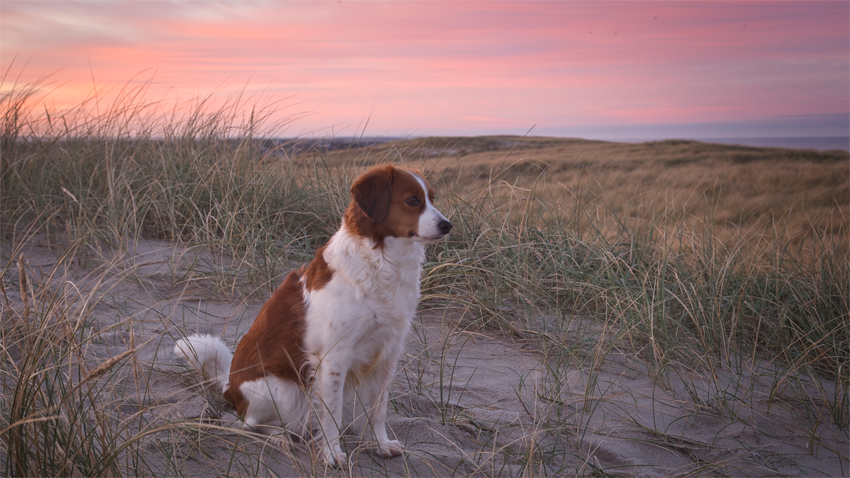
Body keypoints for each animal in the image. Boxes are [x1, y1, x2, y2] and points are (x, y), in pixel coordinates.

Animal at [172, 165, 450, 466]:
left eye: (432, 198)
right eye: (412, 200)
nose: (448, 225)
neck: (382, 261)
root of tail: (230, 387)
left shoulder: (387, 352)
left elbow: (378, 409)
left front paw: (379, 444)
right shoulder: (334, 357)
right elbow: (331, 414)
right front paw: (333, 454)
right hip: (285, 391)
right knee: (250, 423)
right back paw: (279, 438)